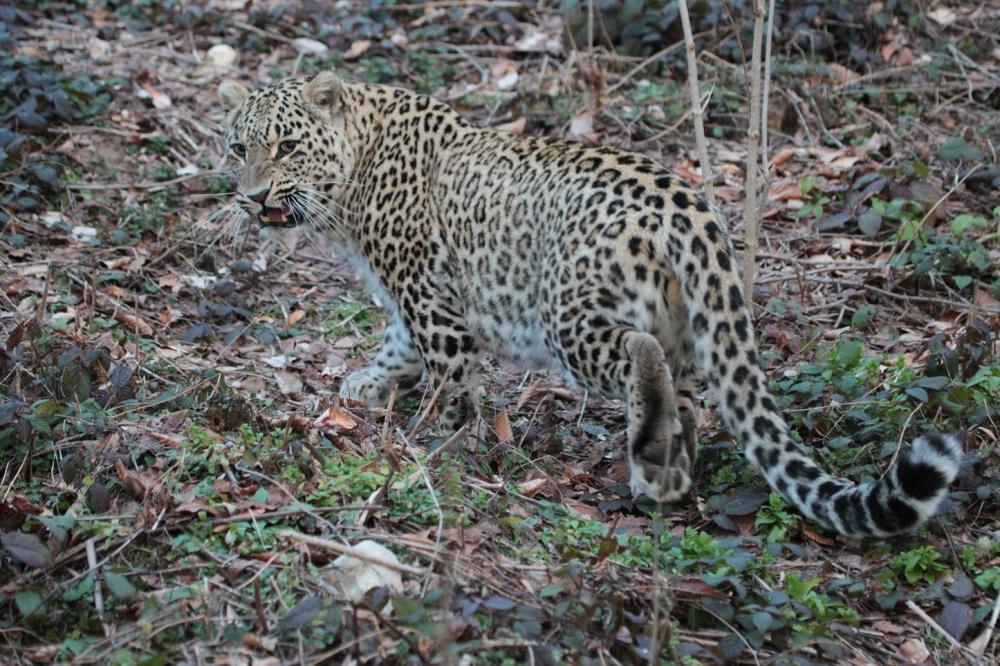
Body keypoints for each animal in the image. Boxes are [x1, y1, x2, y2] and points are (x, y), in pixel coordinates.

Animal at [217, 72, 960, 536]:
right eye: (238, 147)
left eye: (287, 145)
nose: (251, 197)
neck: (353, 178)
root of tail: (684, 204)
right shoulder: (418, 298)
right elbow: (399, 344)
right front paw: (370, 383)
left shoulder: (428, 292)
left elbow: (449, 372)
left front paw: (440, 439)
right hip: (685, 324)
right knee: (689, 399)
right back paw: (662, 474)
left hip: (571, 315)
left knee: (640, 355)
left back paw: (649, 453)